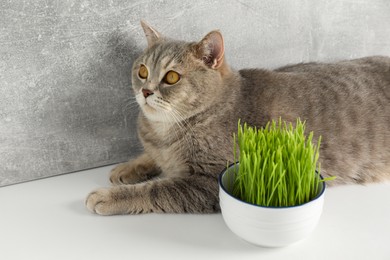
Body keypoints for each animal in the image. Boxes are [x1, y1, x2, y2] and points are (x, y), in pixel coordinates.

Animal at [85, 20, 390, 215]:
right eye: (142, 71)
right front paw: (129, 167)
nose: (146, 91)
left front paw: (108, 197)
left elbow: (156, 190)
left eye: (171, 77)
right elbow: (151, 158)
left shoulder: (211, 181)